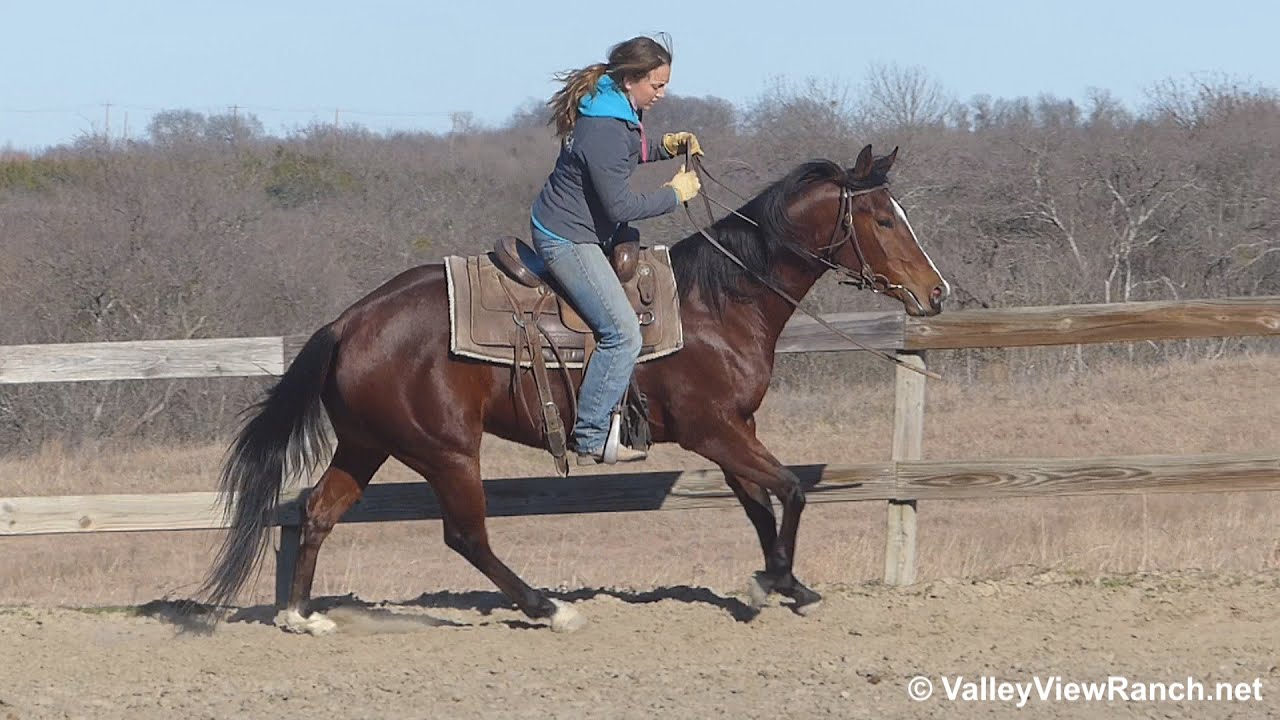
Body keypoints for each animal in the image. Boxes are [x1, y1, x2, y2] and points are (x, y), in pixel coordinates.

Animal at [199, 142, 952, 630]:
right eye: (884, 218)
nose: (937, 292)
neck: (719, 303)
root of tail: (348, 322)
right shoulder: (714, 430)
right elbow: (790, 489)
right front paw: (783, 583)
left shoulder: (737, 430)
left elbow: (759, 504)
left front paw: (776, 581)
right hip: (445, 450)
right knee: (466, 536)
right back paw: (550, 608)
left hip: (367, 444)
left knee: (319, 511)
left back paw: (301, 617)